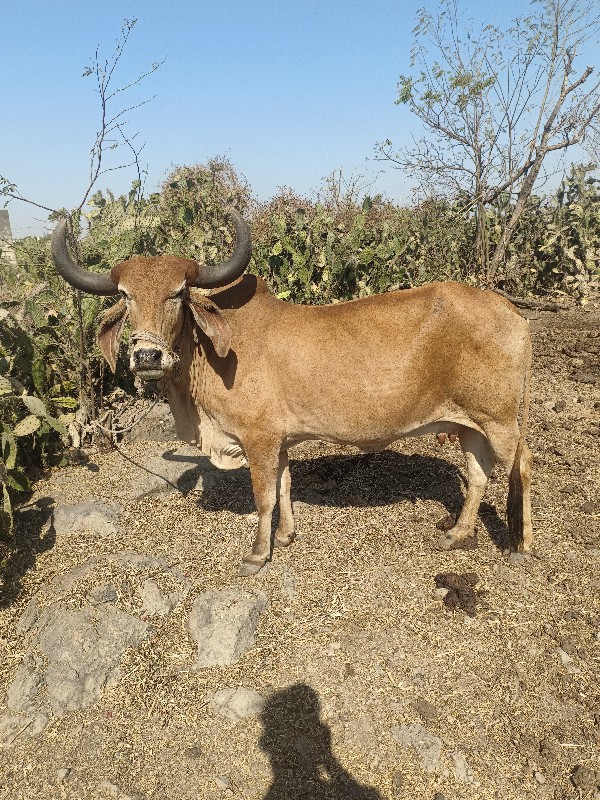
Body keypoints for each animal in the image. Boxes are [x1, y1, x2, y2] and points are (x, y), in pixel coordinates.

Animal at [50, 212, 528, 576]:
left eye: (178, 293)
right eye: (126, 295)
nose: (147, 356)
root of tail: (512, 311)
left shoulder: (257, 438)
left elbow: (263, 496)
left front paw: (258, 553)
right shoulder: (277, 440)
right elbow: (284, 484)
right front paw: (285, 535)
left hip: (501, 421)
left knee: (522, 468)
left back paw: (520, 543)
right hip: (470, 424)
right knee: (479, 475)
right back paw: (458, 533)